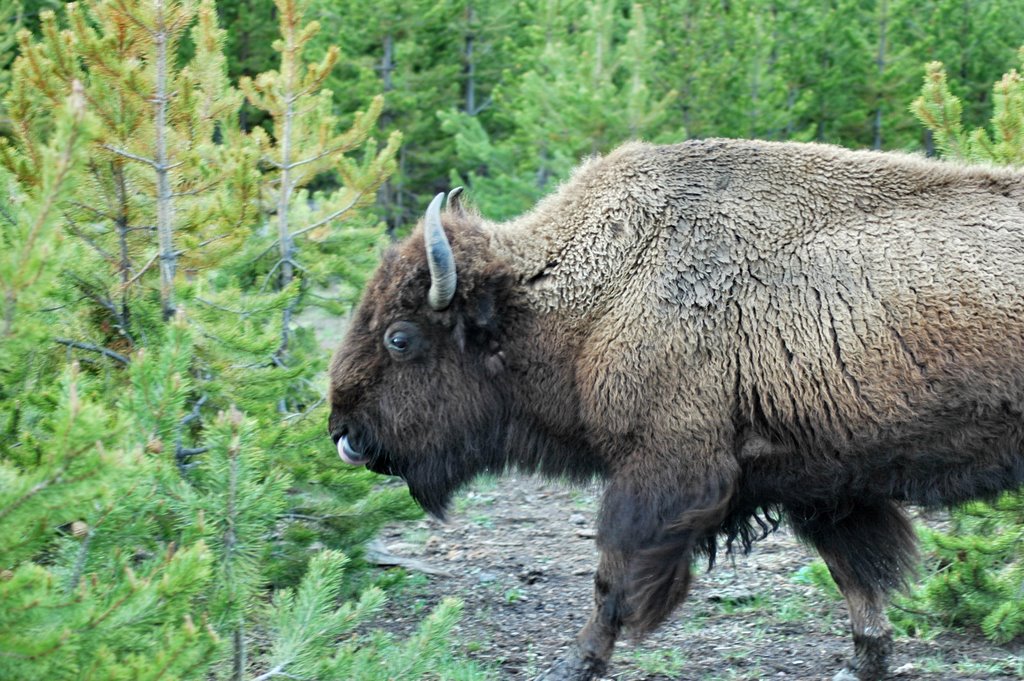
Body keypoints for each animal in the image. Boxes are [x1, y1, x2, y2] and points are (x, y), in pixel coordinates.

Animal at [327, 139, 1024, 679]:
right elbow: (856, 576)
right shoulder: (825, 485)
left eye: (400, 337)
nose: (343, 433)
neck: (601, 290)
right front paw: (864, 661)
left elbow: (613, 580)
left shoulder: (663, 470)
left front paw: (572, 664)